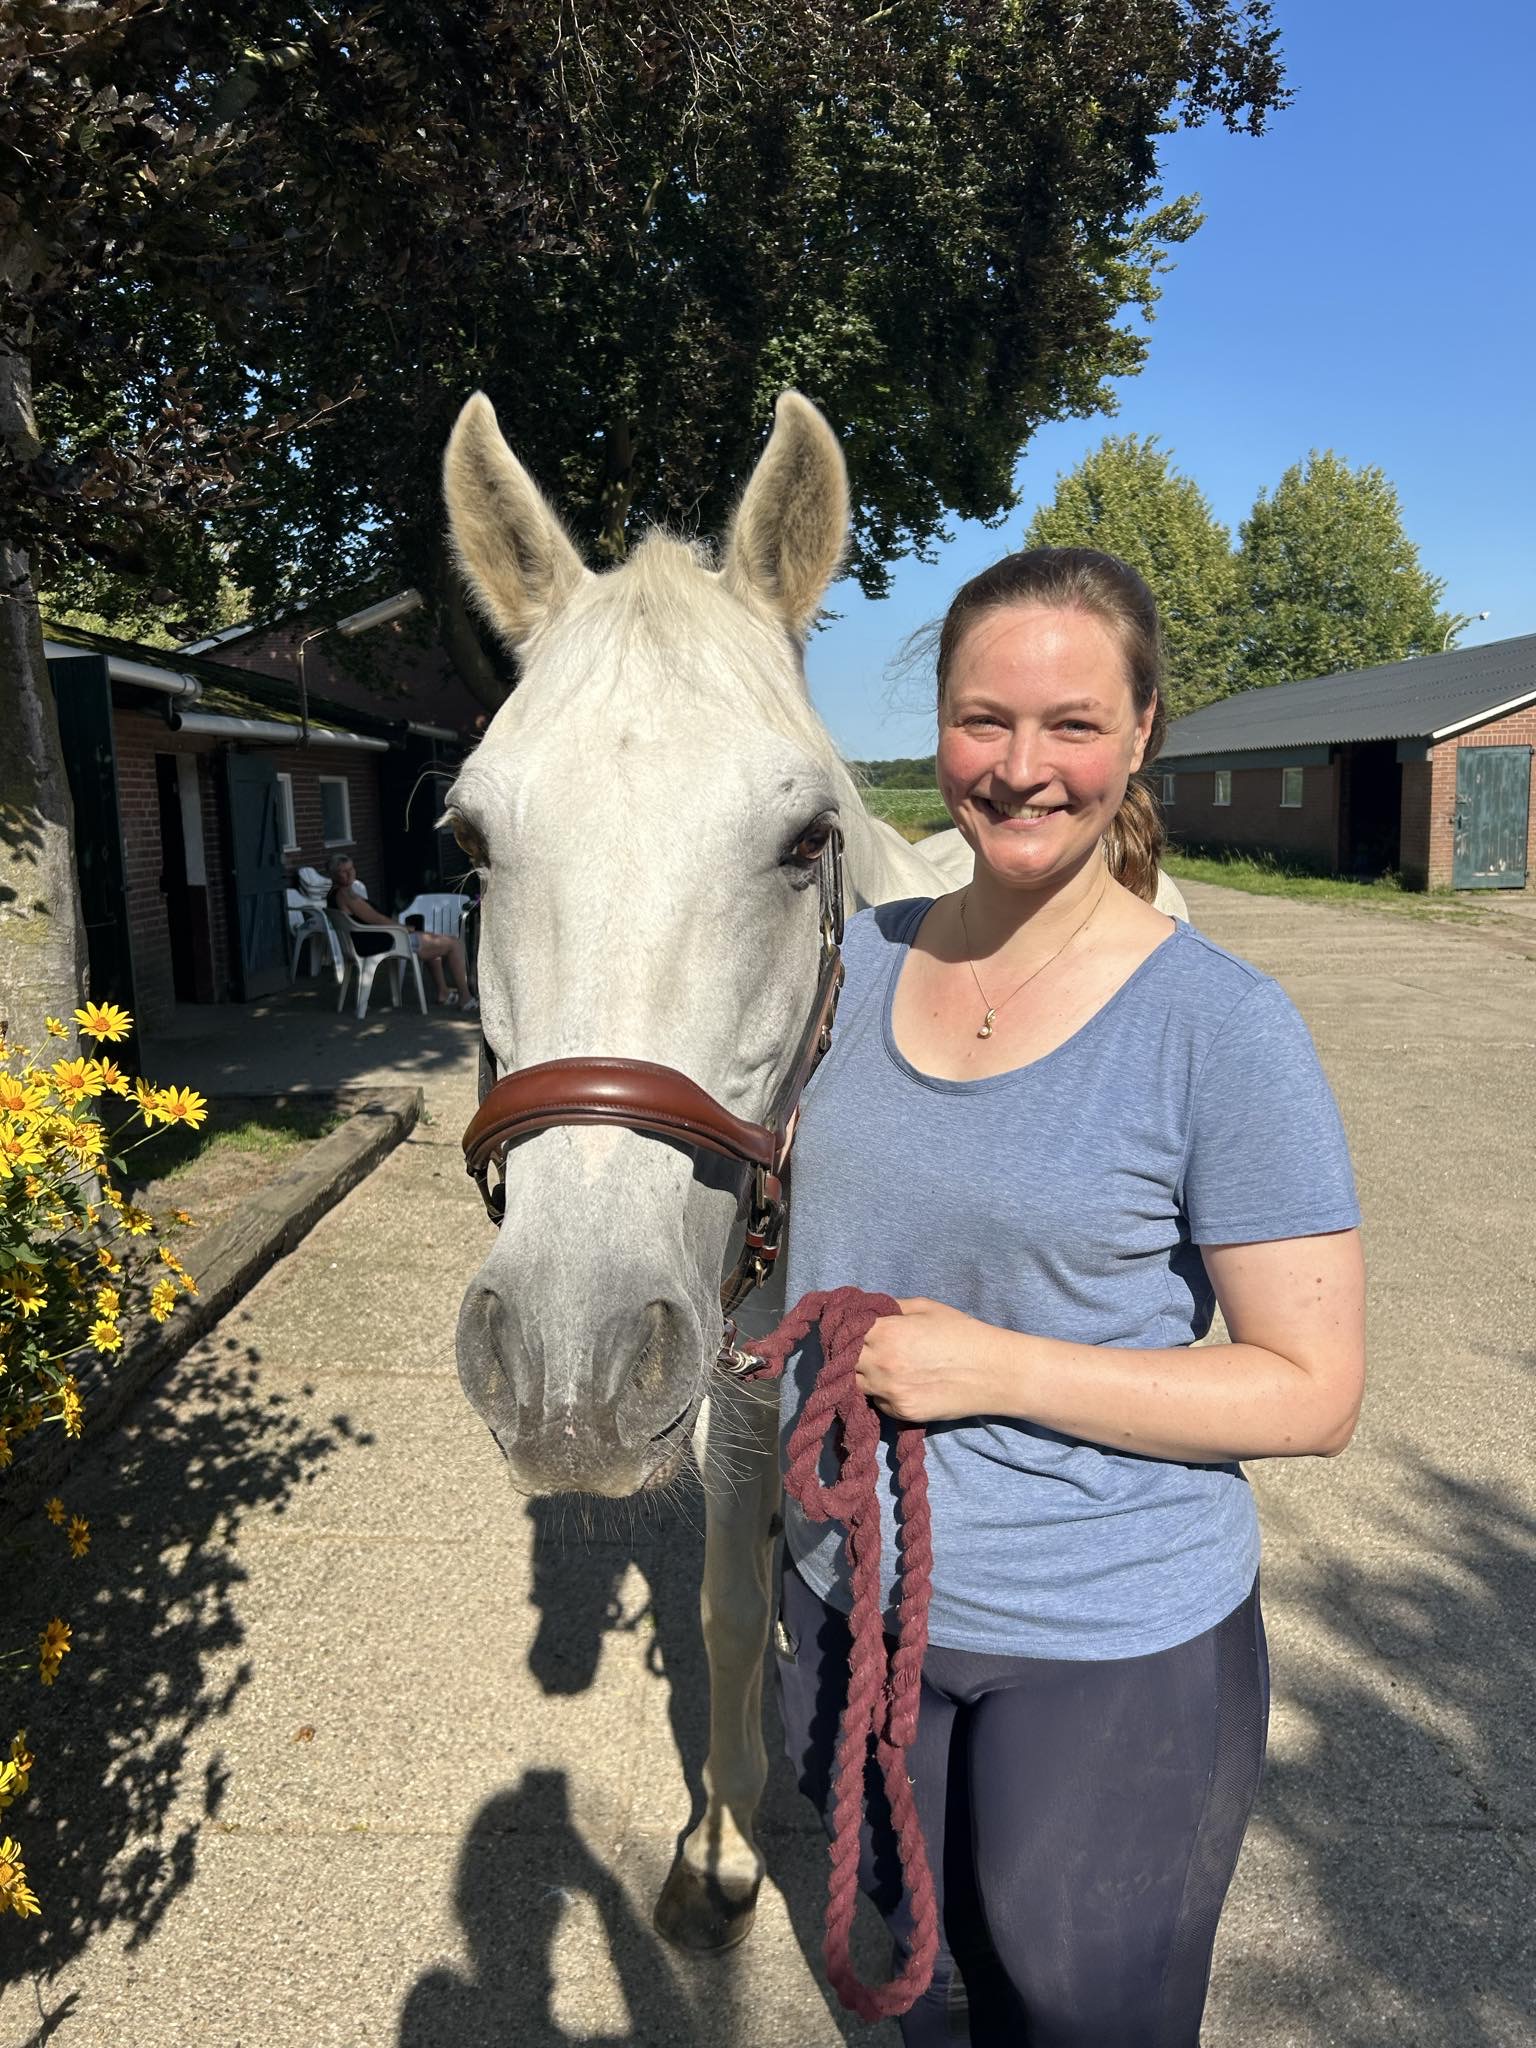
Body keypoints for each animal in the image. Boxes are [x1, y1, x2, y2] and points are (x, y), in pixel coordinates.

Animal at [440, 389, 1186, 1955]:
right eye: (469, 840)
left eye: (804, 842)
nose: (561, 1360)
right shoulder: (720, 1384)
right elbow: (728, 1606)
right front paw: (722, 1842)